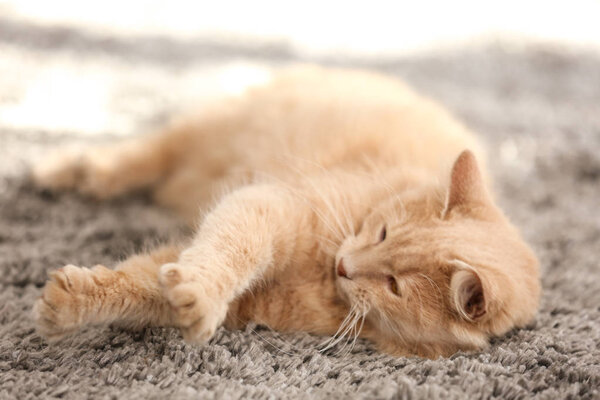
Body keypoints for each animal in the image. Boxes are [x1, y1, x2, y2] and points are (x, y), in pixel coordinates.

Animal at [30, 66, 540, 360]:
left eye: (394, 285)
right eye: (381, 233)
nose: (345, 265)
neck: (323, 278)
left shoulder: (247, 299)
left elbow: (147, 282)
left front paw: (73, 304)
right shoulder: (268, 205)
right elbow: (227, 253)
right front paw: (200, 290)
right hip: (207, 130)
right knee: (138, 156)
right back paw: (64, 170)